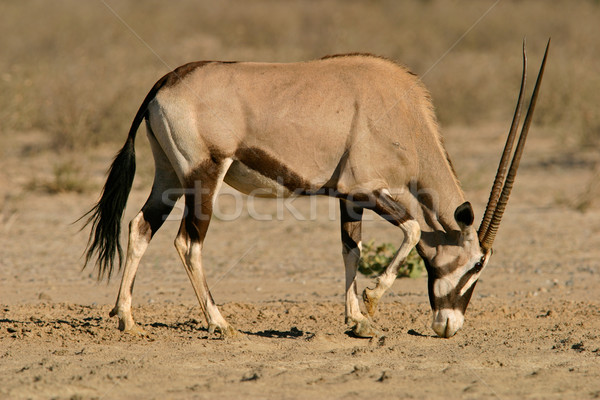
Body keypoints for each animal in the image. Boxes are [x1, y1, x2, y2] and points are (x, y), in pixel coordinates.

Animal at [83, 40, 548, 340]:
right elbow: (414, 229)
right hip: (204, 176)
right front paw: (372, 300)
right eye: (476, 265)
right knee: (187, 242)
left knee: (140, 227)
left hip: (169, 177)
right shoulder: (365, 189)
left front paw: (358, 321)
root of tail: (165, 82)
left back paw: (126, 319)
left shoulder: (349, 199)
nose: (449, 328)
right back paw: (220, 323)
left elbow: (351, 251)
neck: (403, 114)